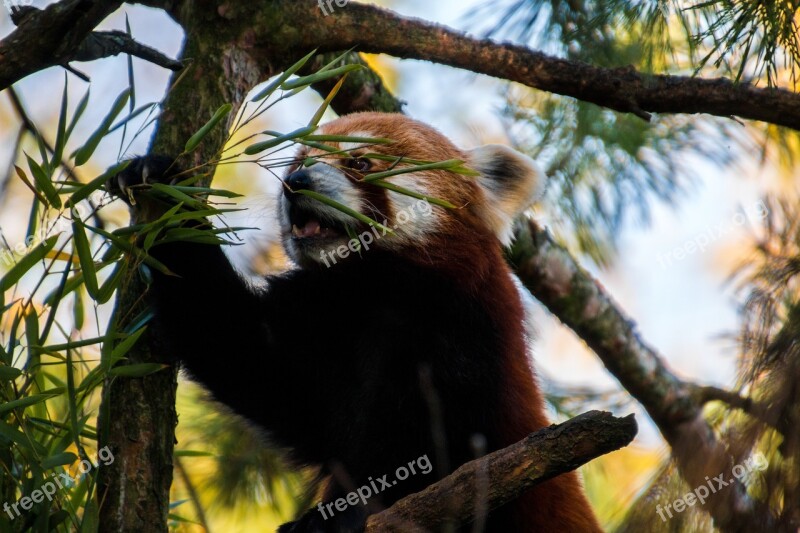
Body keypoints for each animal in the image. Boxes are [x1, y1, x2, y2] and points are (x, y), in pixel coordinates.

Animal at [109, 110, 604, 528]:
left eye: (360, 162)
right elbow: (244, 351)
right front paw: (163, 189)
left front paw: (342, 515)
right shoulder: (320, 328)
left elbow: (422, 449)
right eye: (299, 160)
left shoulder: (463, 335)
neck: (366, 285)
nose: (296, 182)